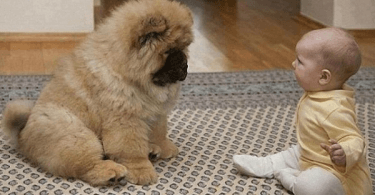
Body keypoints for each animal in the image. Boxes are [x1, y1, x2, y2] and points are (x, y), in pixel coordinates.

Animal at [0, 0, 194, 186]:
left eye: (184, 48)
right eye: (168, 51)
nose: (184, 65)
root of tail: (22, 135)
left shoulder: (157, 112)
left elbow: (159, 131)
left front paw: (164, 147)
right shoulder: (126, 119)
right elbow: (131, 150)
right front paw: (142, 172)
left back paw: (151, 150)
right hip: (76, 133)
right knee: (87, 165)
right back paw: (112, 172)